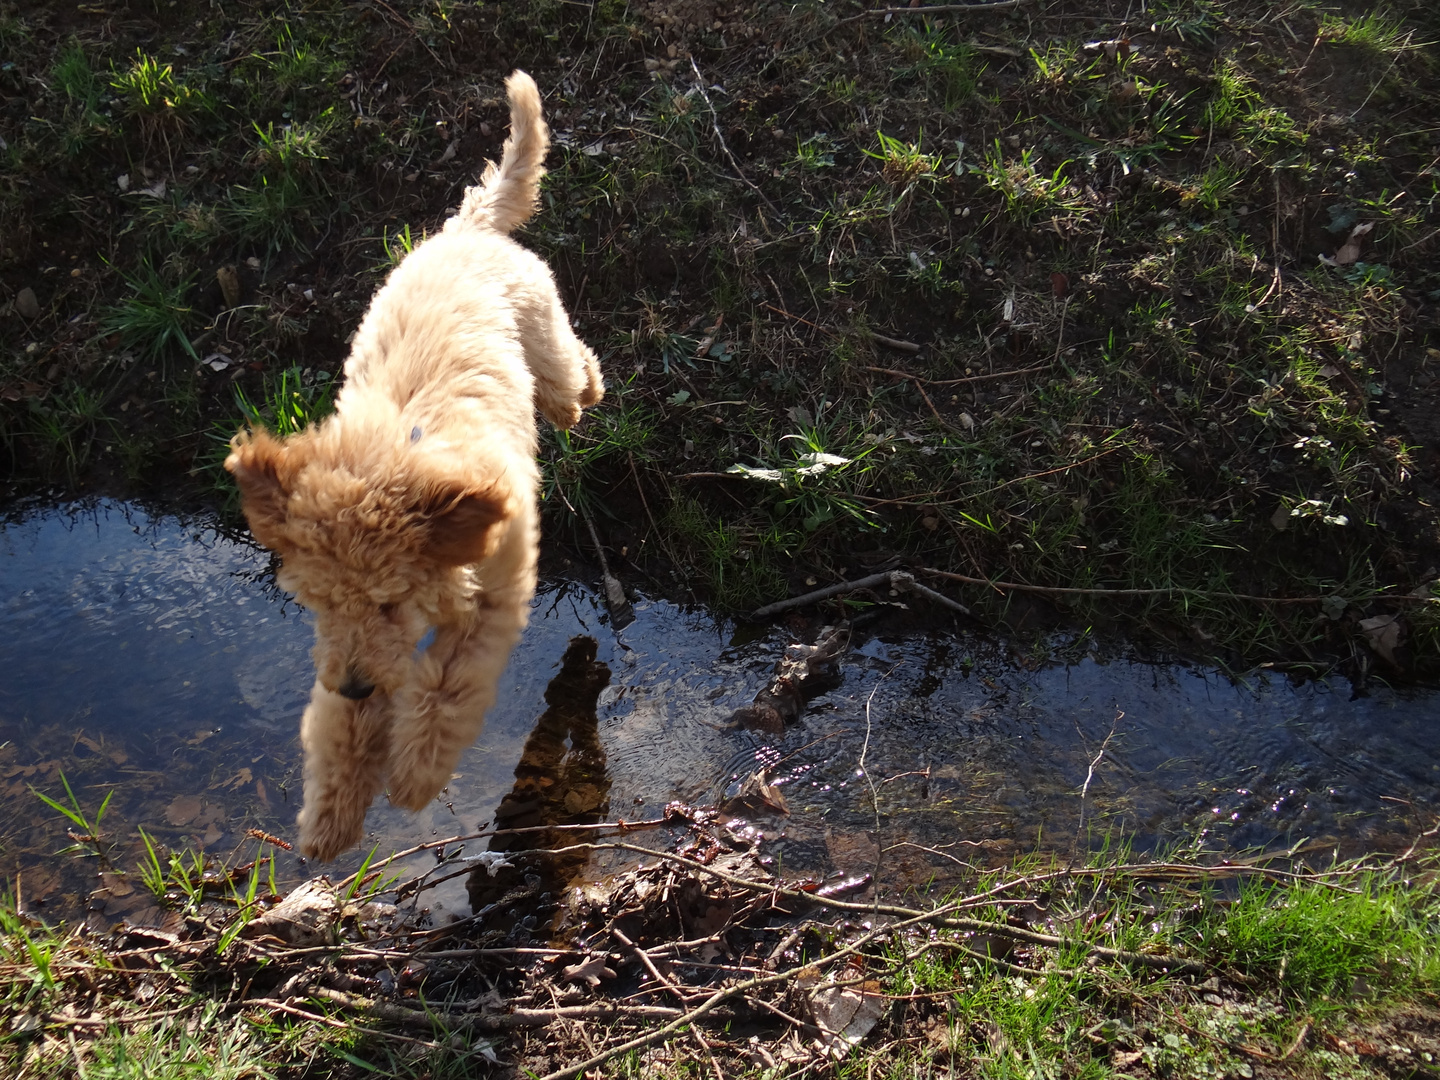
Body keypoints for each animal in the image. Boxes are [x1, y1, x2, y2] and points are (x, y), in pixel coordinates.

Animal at [223, 69, 601, 864]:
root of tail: (467, 231)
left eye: (390, 602)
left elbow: (448, 689)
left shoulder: (493, 602)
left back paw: (586, 395)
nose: (355, 684)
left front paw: (415, 776)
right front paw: (330, 818)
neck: (409, 447)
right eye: (319, 603)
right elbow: (343, 733)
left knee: (573, 371)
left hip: (544, 330)